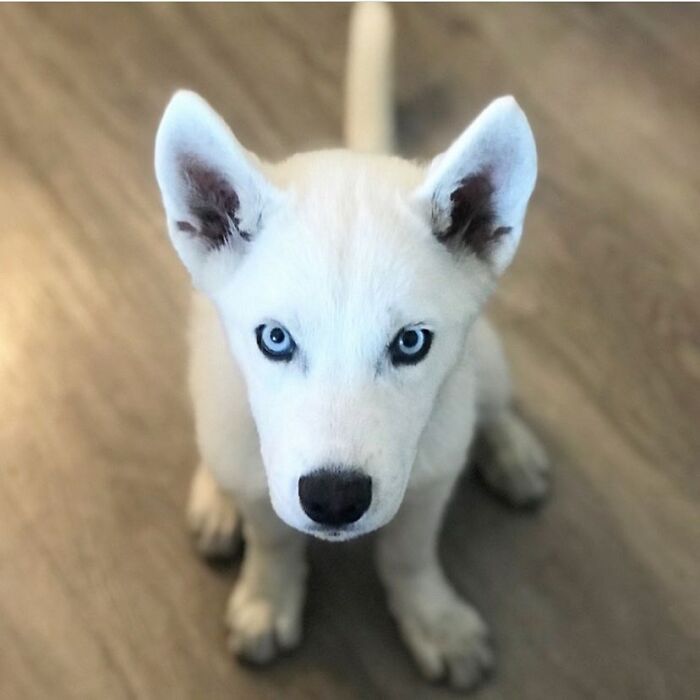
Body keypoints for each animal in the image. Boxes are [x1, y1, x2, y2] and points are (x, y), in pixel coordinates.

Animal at [156, 2, 548, 692]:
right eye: (275, 339)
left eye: (412, 342)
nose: (334, 500)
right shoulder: (264, 477)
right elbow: (273, 538)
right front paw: (267, 596)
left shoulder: (429, 479)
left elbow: (409, 554)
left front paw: (434, 619)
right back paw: (215, 498)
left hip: (486, 359)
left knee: (494, 404)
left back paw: (511, 451)